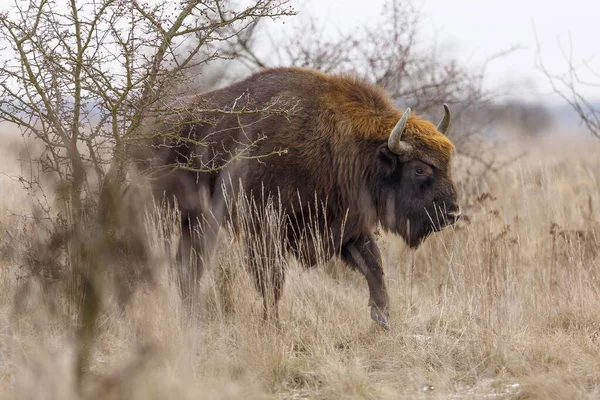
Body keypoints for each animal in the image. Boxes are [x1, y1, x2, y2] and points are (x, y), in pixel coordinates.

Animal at [141, 66, 460, 328]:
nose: (453, 213)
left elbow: (374, 266)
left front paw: (382, 317)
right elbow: (271, 281)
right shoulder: (265, 227)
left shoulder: (346, 226)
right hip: (164, 215)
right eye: (420, 169)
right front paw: (272, 326)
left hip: (195, 221)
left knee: (187, 268)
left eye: (447, 164)